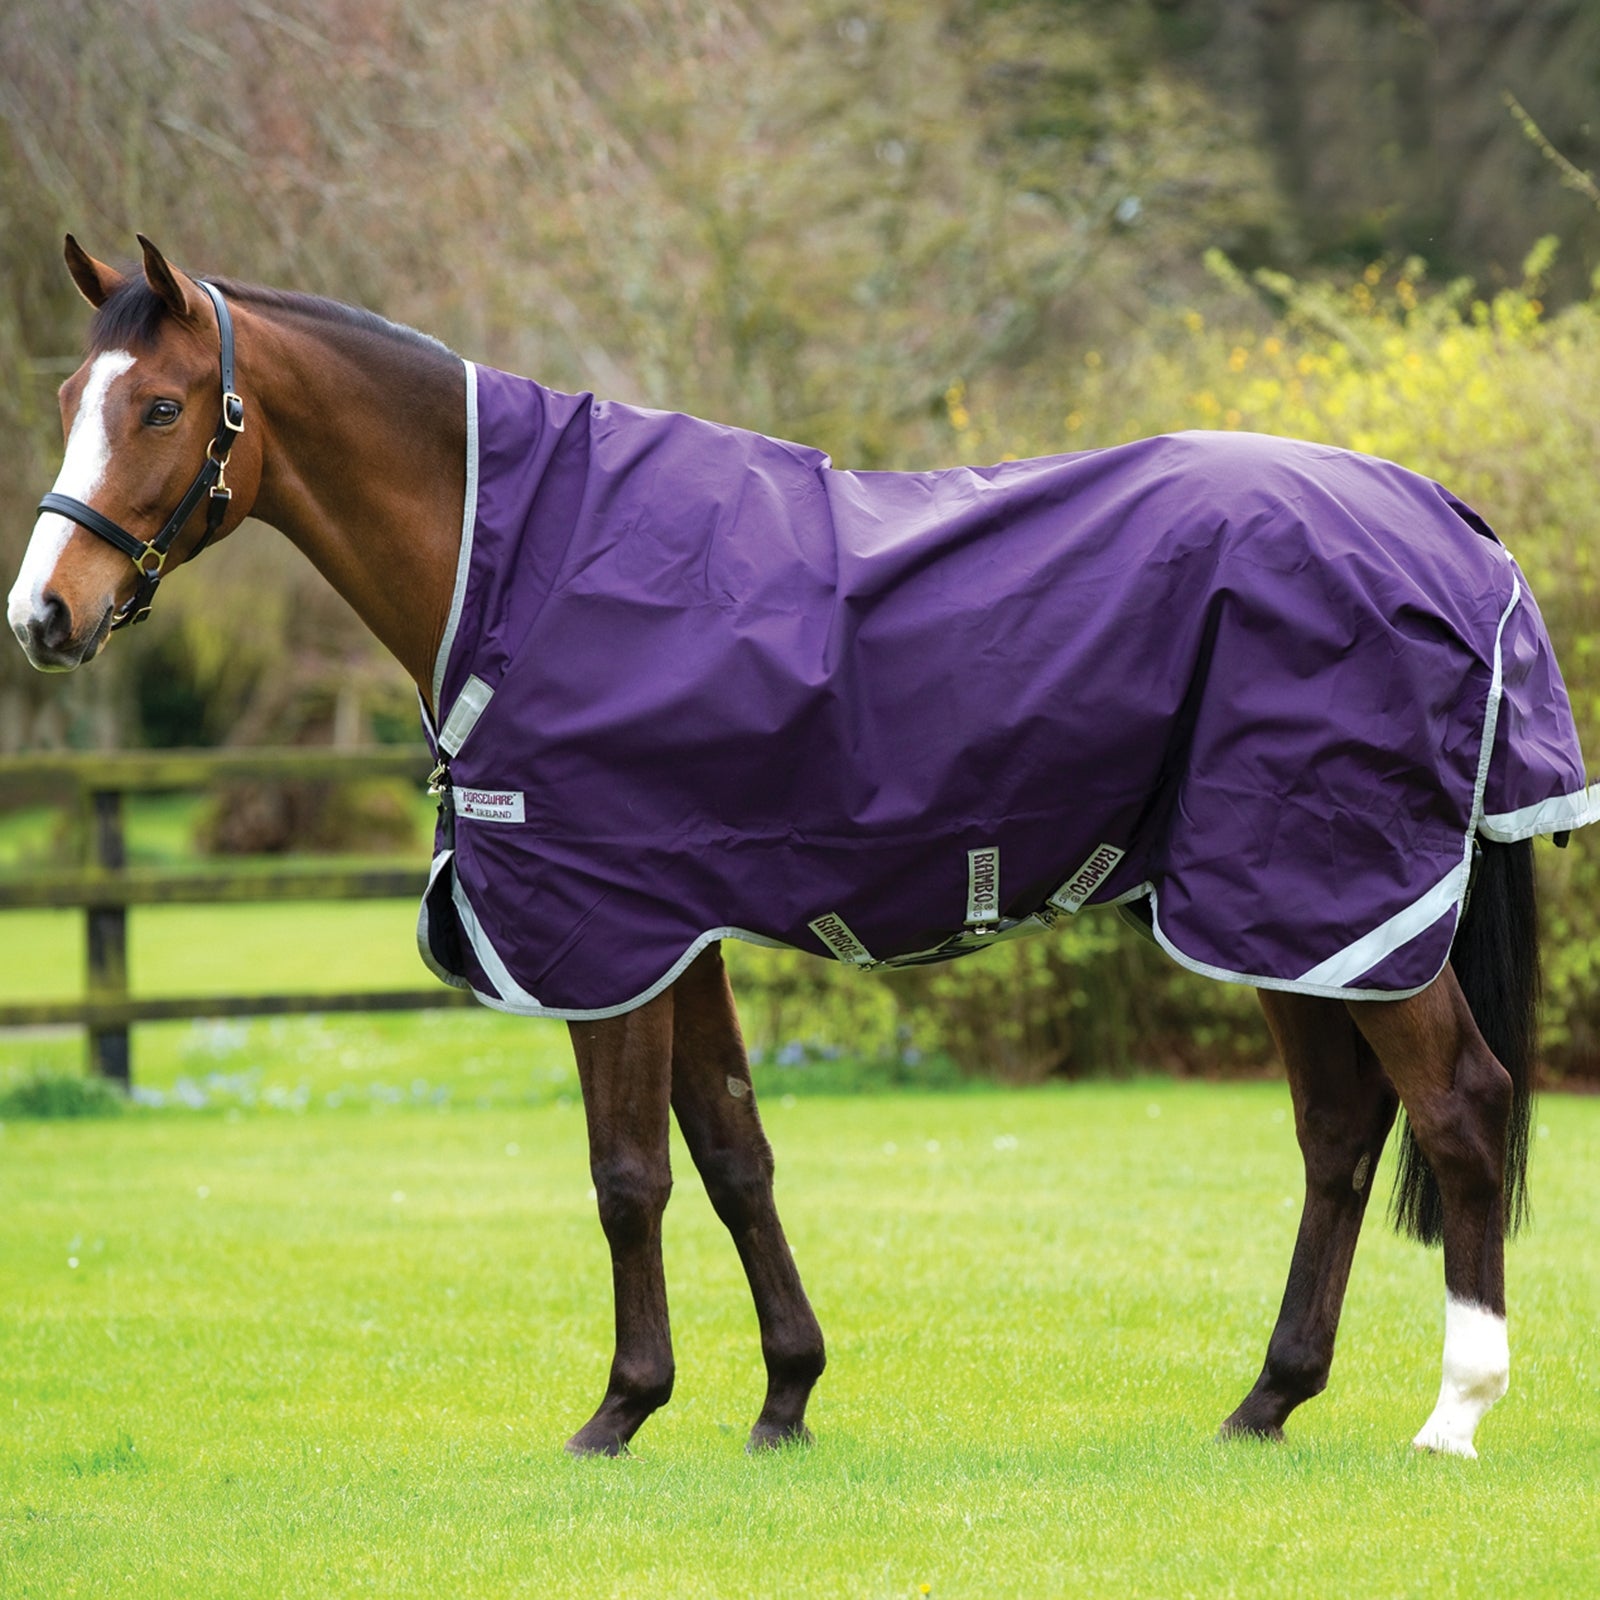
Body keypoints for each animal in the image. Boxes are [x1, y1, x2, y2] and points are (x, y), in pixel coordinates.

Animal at [11, 235, 1597, 1461]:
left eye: (162, 406)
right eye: (70, 398)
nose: (42, 614)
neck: (523, 561)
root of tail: (1448, 519)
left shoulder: (602, 929)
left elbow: (627, 1174)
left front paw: (619, 1411)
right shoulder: (679, 930)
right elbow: (732, 1155)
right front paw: (784, 1397)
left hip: (1333, 892)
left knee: (1460, 1108)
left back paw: (1454, 1412)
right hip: (1289, 912)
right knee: (1339, 1133)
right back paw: (1266, 1401)